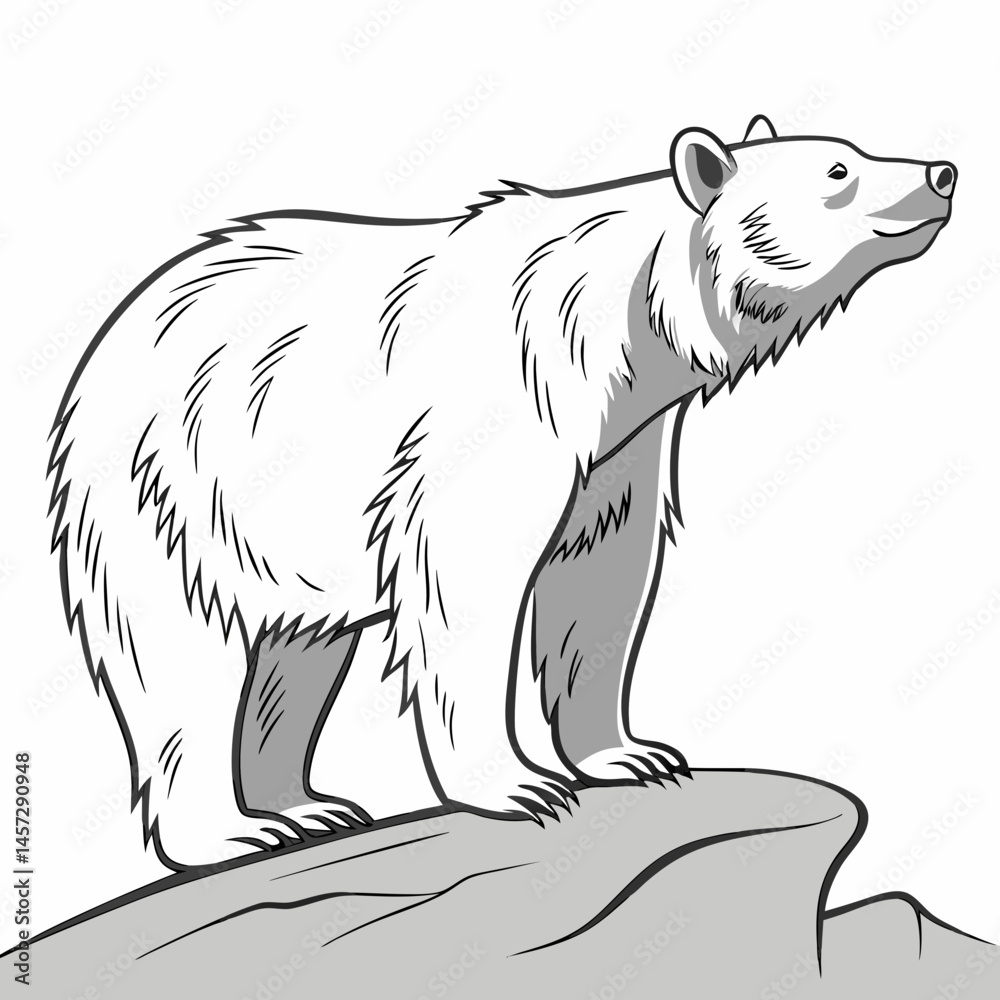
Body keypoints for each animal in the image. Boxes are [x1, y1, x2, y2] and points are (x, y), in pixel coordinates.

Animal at [47, 114, 956, 868]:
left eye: (856, 148)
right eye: (838, 170)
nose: (943, 171)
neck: (614, 331)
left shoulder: (622, 441)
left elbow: (601, 572)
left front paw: (631, 754)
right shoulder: (498, 412)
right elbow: (464, 584)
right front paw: (522, 786)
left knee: (298, 649)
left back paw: (310, 808)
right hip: (167, 491)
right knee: (176, 662)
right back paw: (234, 832)